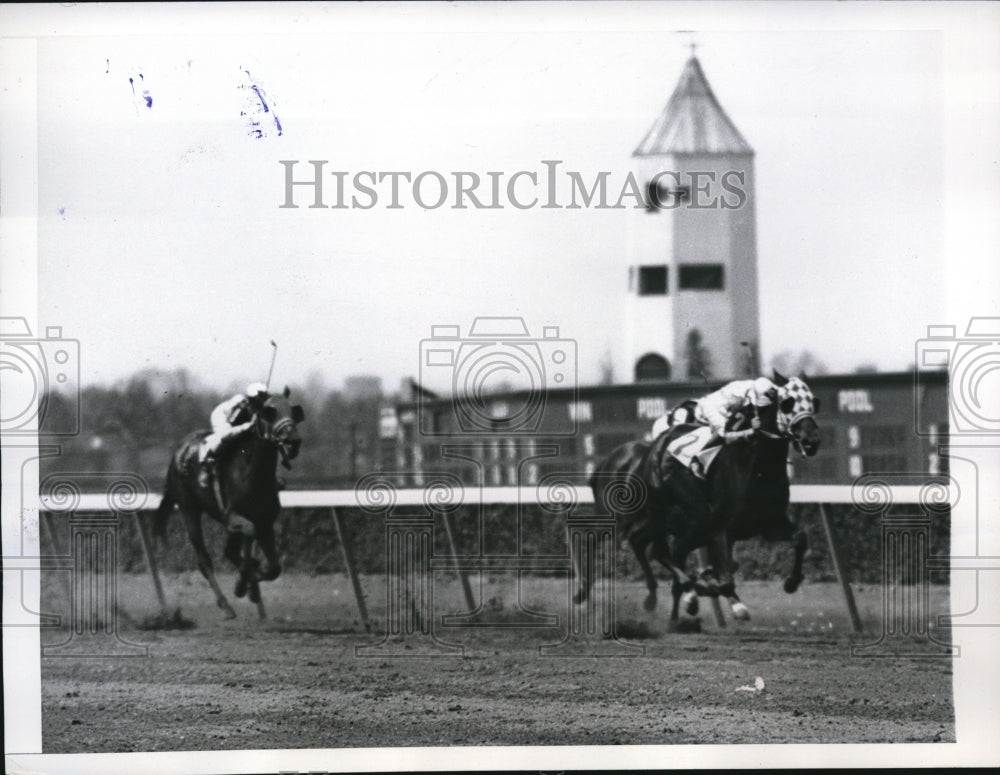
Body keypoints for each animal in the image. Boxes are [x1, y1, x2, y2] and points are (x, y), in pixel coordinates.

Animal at [152, 392, 304, 620]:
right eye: (269, 412)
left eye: (293, 411)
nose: (292, 441)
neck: (253, 473)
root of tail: (179, 452)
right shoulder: (233, 517)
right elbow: (249, 537)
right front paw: (243, 583)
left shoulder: (265, 521)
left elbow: (274, 568)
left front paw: (251, 584)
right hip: (189, 510)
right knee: (205, 560)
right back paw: (226, 605)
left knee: (229, 551)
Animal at [580, 376, 820, 624]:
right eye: (787, 403)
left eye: (813, 403)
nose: (811, 441)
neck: (756, 469)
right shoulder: (718, 528)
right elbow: (722, 577)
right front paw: (710, 593)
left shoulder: (767, 524)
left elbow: (800, 538)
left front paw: (791, 583)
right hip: (630, 516)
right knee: (615, 543)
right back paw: (585, 593)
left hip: (657, 522)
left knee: (647, 546)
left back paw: (659, 600)